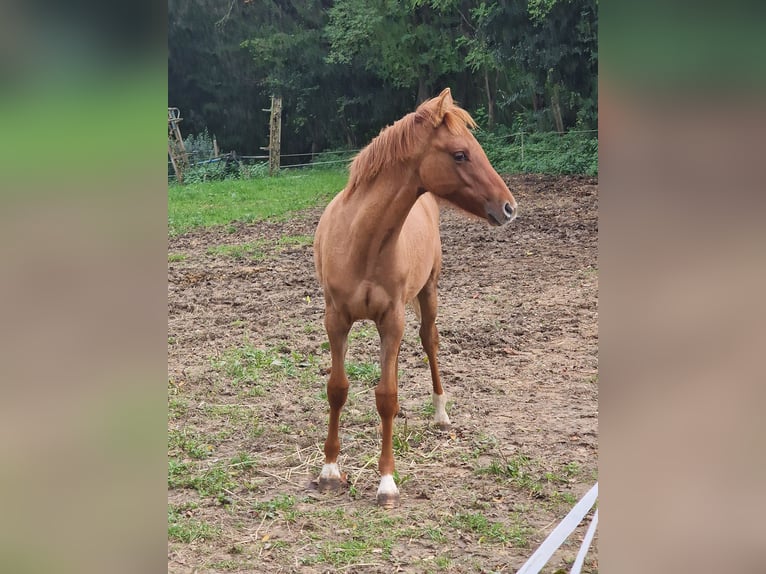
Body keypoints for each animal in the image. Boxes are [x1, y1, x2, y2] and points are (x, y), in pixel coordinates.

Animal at [316, 88, 520, 506]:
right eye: (460, 154)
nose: (509, 207)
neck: (361, 240)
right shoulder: (336, 319)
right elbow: (338, 389)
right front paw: (329, 470)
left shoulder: (392, 319)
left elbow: (387, 397)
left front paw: (386, 481)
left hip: (428, 293)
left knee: (430, 341)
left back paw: (440, 412)